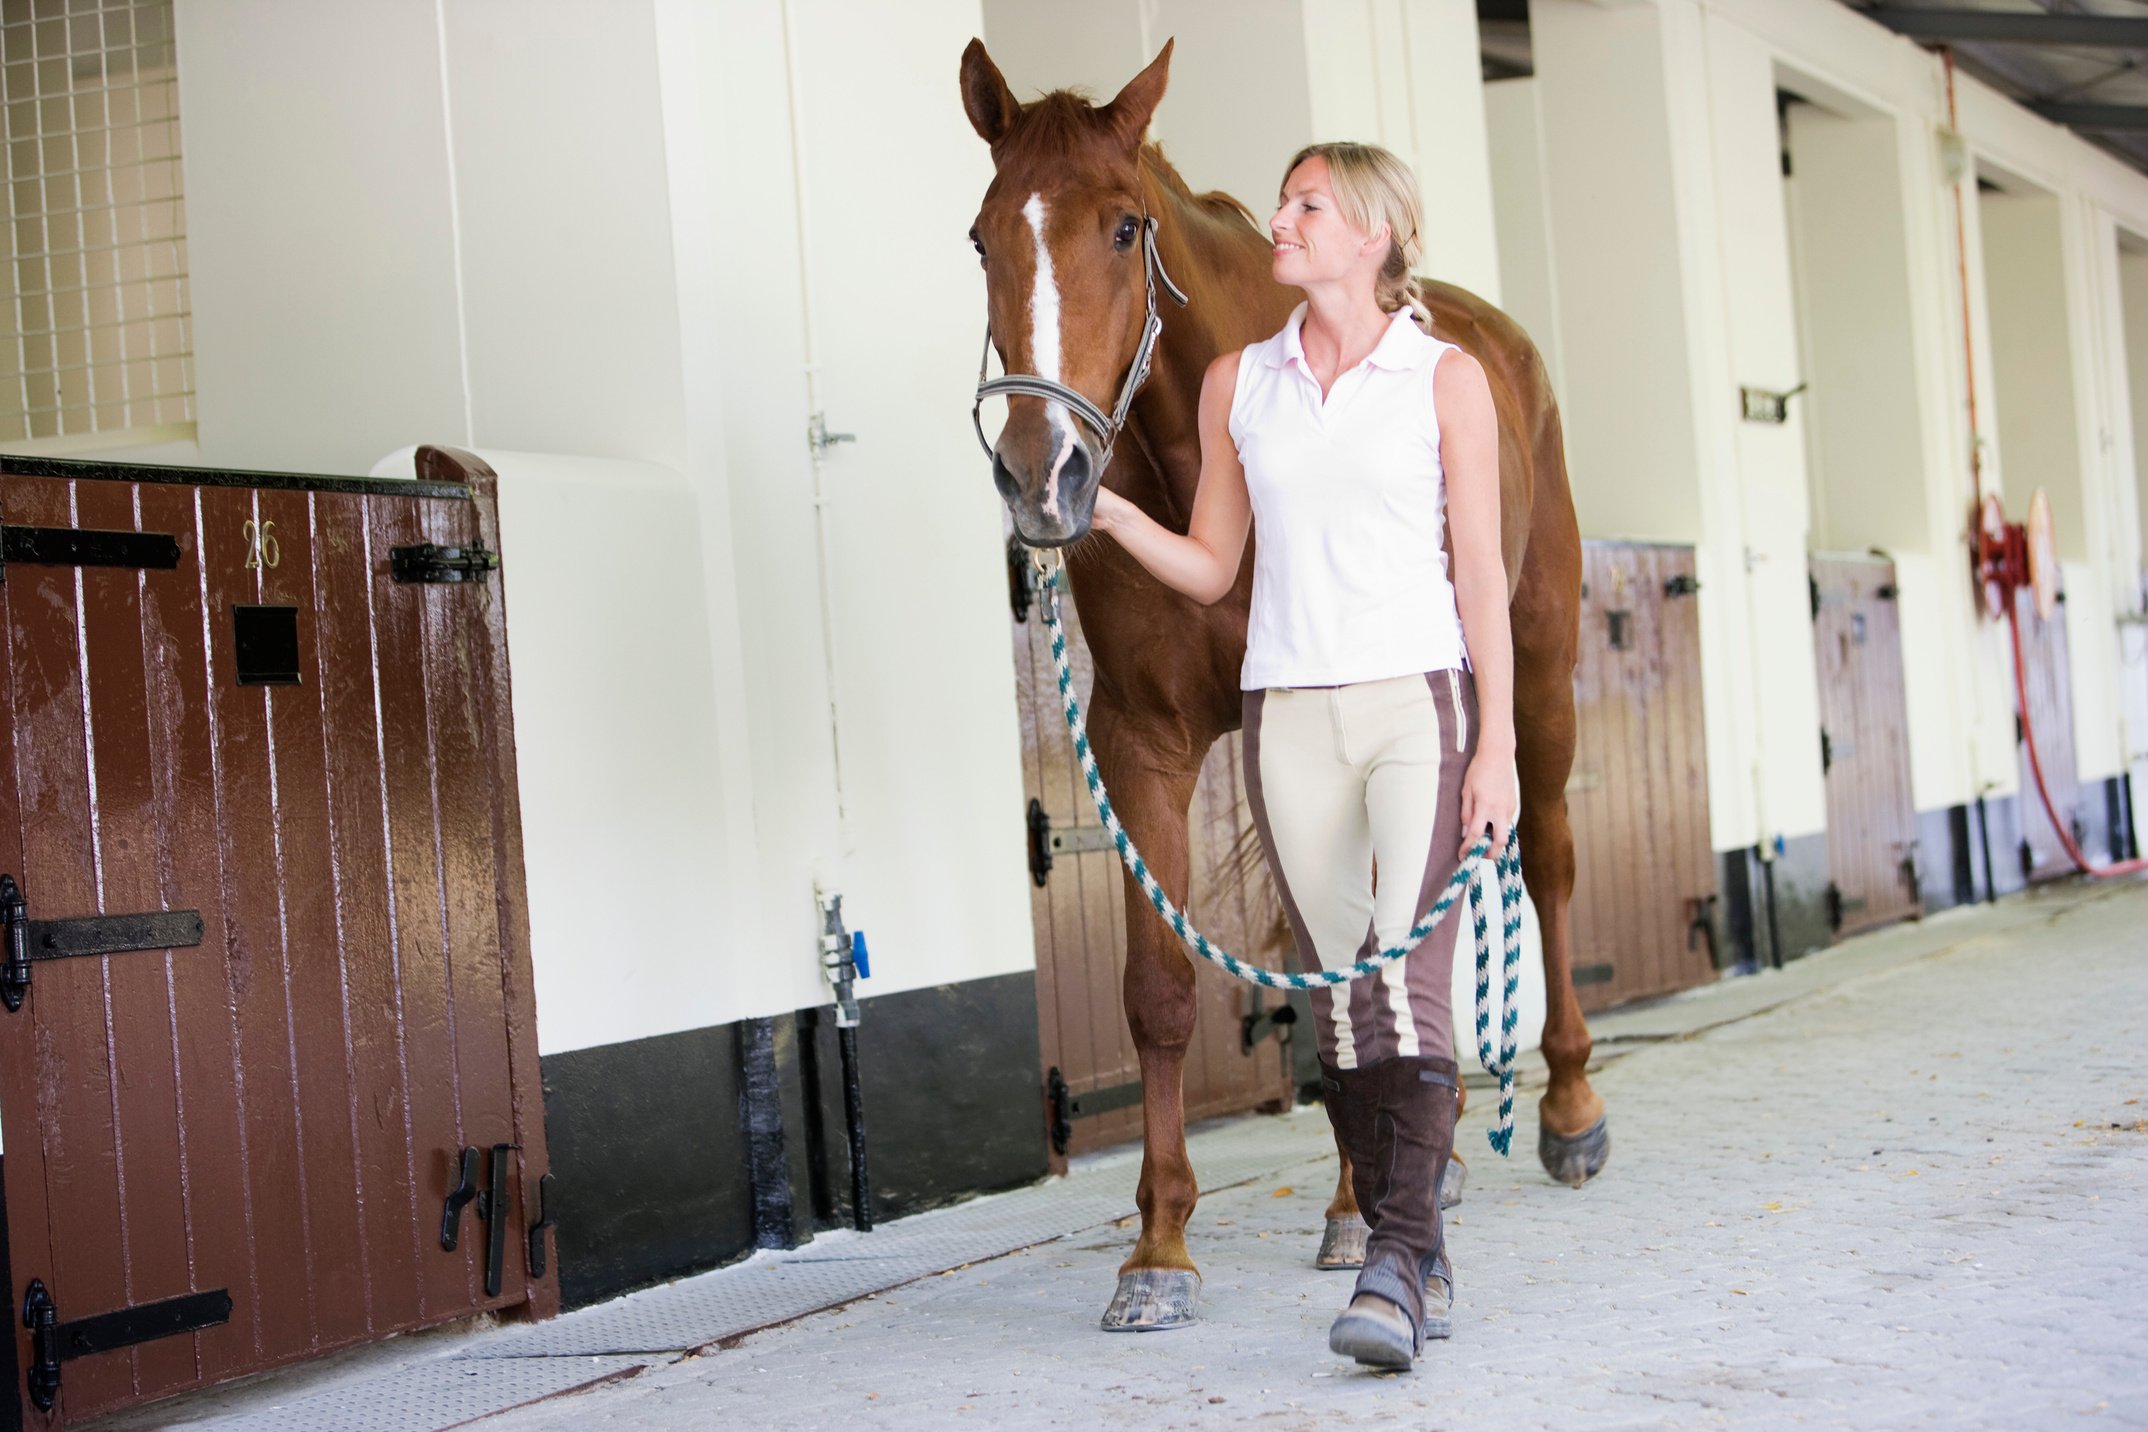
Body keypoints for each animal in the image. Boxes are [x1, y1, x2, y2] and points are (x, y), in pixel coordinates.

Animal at [966, 36, 1606, 1331]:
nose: (1040, 478)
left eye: (1123, 228)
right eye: (980, 238)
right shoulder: (1143, 739)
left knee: (1549, 861)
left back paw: (1566, 1112)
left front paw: (1358, 1209)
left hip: (1537, 673)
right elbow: (1161, 989)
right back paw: (1438, 1160)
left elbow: (1340, 973)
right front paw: (1158, 1248)